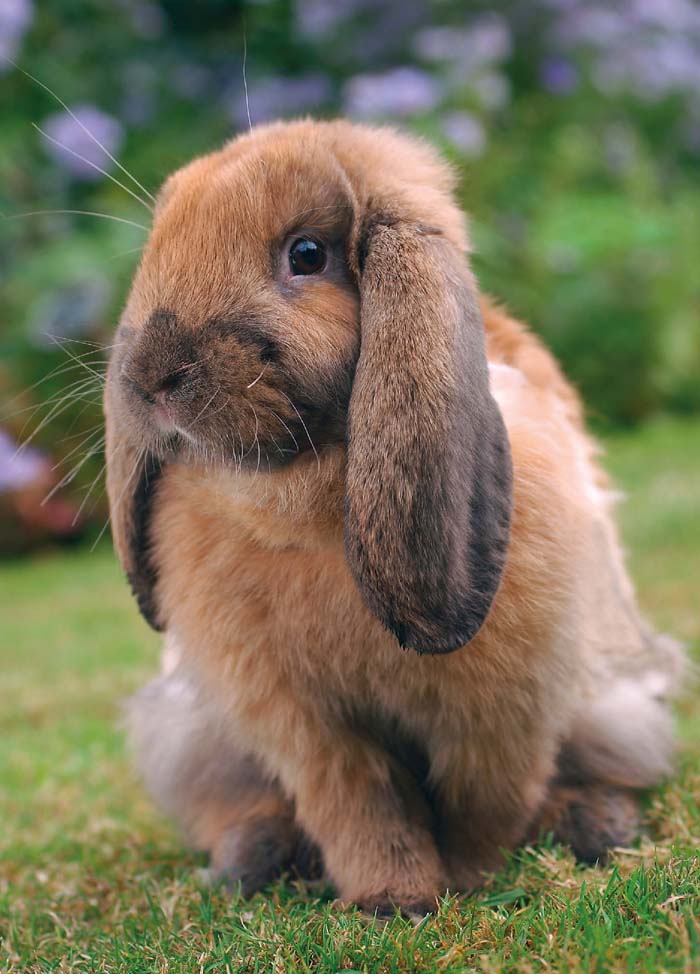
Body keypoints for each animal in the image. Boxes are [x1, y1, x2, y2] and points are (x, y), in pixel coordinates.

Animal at [106, 120, 685, 915]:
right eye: (161, 244)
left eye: (306, 255)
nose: (152, 375)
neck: (303, 501)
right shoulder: (305, 726)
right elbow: (360, 807)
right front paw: (392, 898)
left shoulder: (501, 711)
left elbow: (484, 801)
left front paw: (467, 882)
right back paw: (248, 863)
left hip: (615, 703)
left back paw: (595, 824)